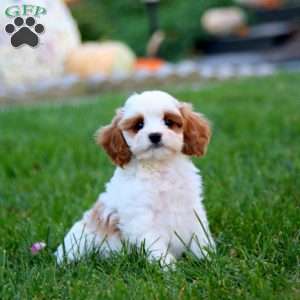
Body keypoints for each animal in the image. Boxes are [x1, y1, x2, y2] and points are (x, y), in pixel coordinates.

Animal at [55, 90, 216, 266]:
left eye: (168, 121)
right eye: (139, 125)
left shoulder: (192, 208)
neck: (159, 168)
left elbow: (200, 235)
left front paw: (207, 257)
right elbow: (155, 245)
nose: (155, 136)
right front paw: (168, 267)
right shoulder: (141, 219)